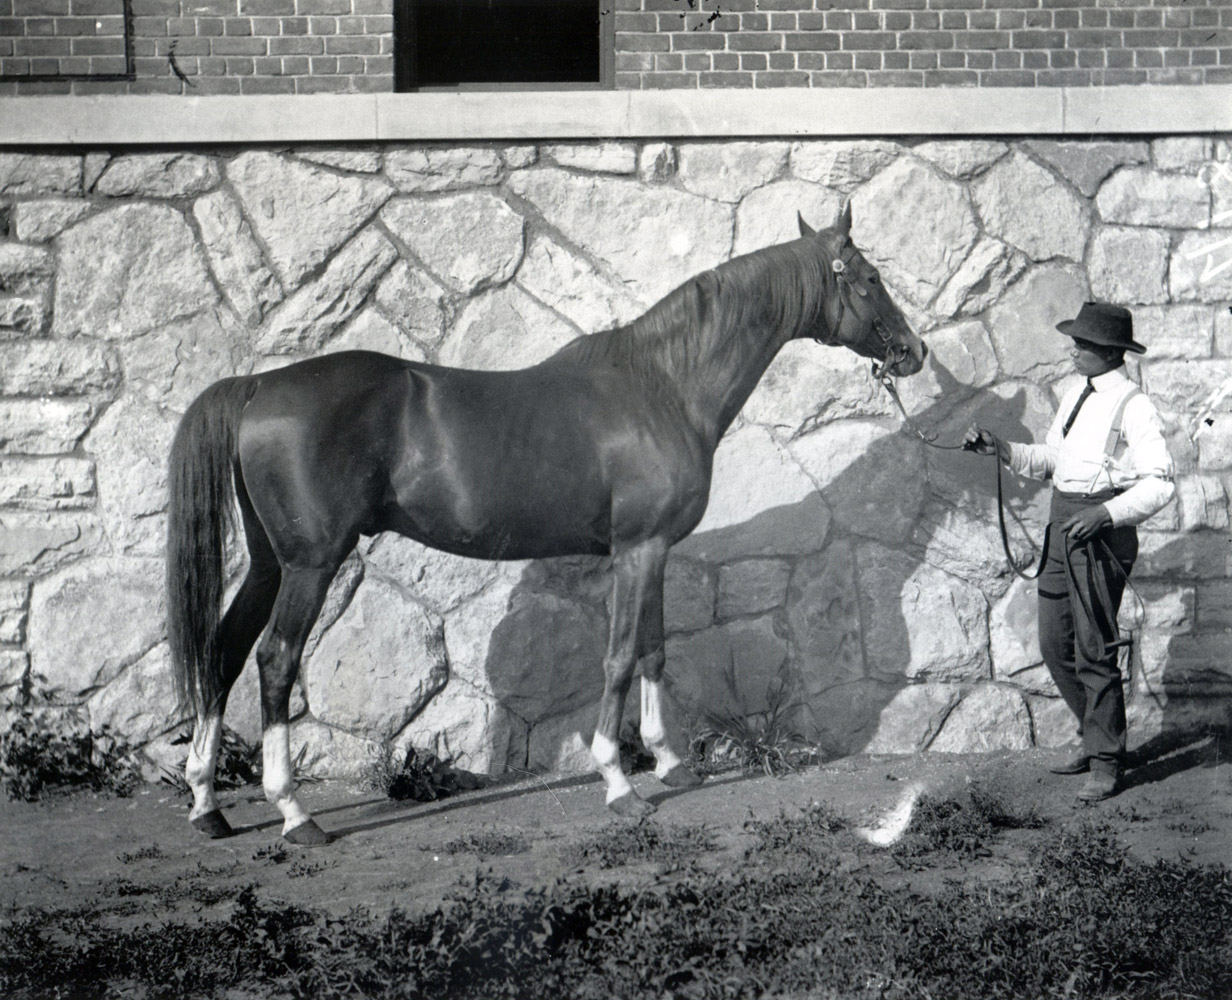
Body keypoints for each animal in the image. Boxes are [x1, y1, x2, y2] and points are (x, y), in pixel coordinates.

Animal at [168, 206, 926, 847]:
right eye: (870, 279)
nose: (914, 351)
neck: (664, 386)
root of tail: (258, 386)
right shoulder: (638, 550)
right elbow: (619, 656)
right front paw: (620, 783)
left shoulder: (653, 552)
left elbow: (654, 650)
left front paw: (671, 763)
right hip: (311, 563)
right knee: (274, 659)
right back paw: (295, 813)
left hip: (270, 561)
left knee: (225, 648)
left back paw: (207, 805)